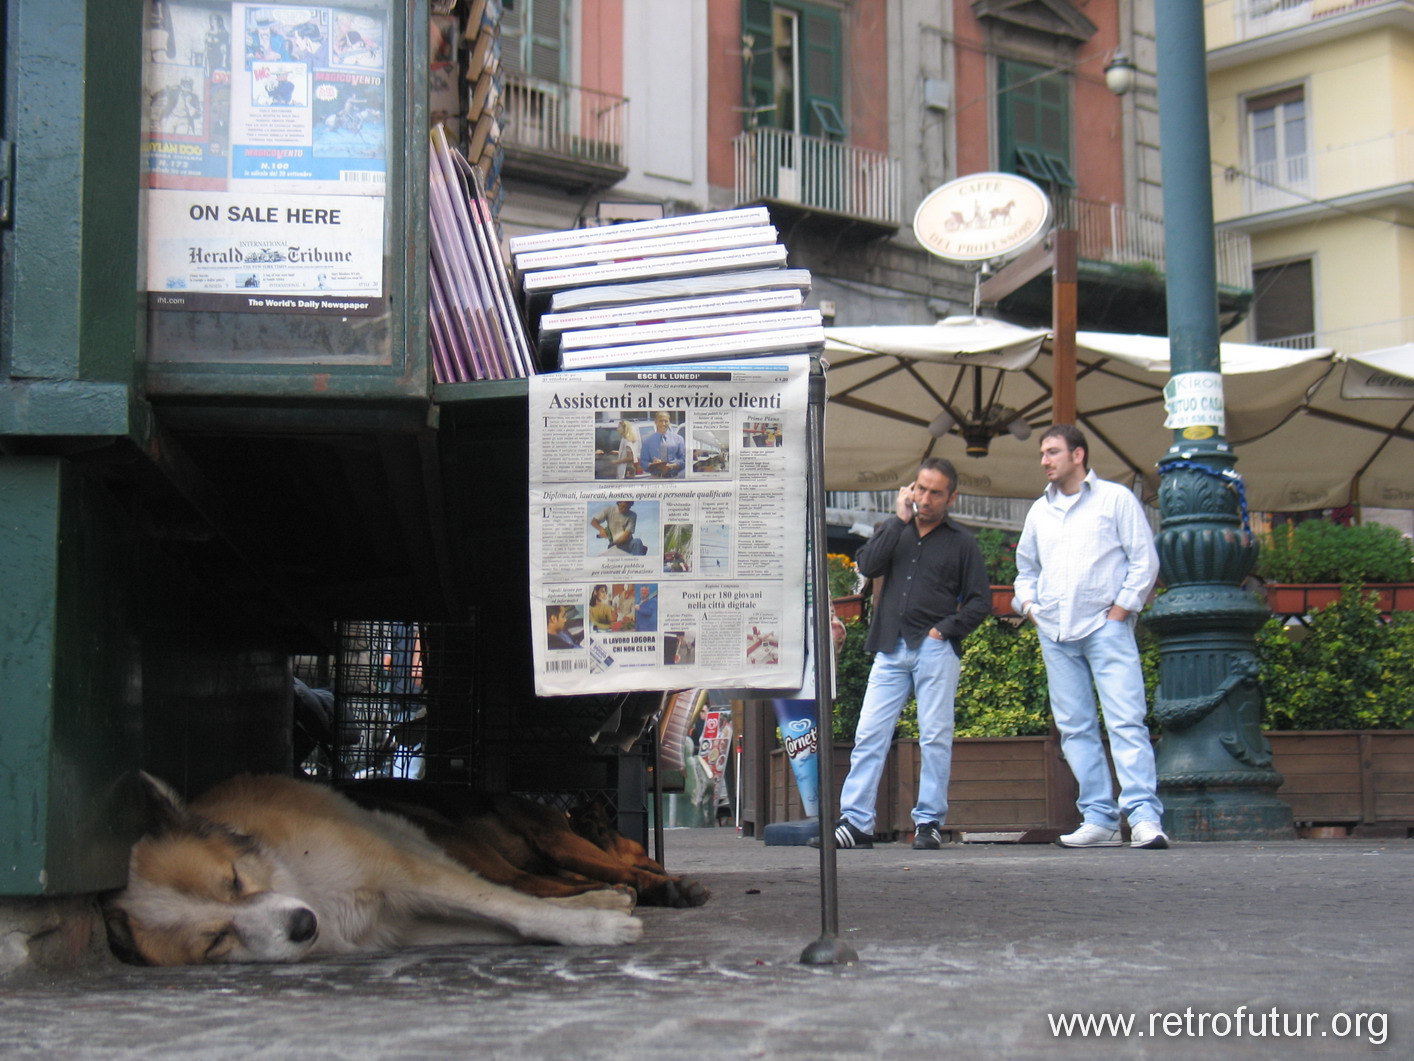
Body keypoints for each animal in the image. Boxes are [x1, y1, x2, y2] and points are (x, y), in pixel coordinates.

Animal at [102, 775, 644, 973]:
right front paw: (587, 921)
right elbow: (505, 923)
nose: (303, 926)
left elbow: (513, 908)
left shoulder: (404, 871)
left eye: (235, 880)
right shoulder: (402, 926)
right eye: (215, 940)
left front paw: (595, 925)